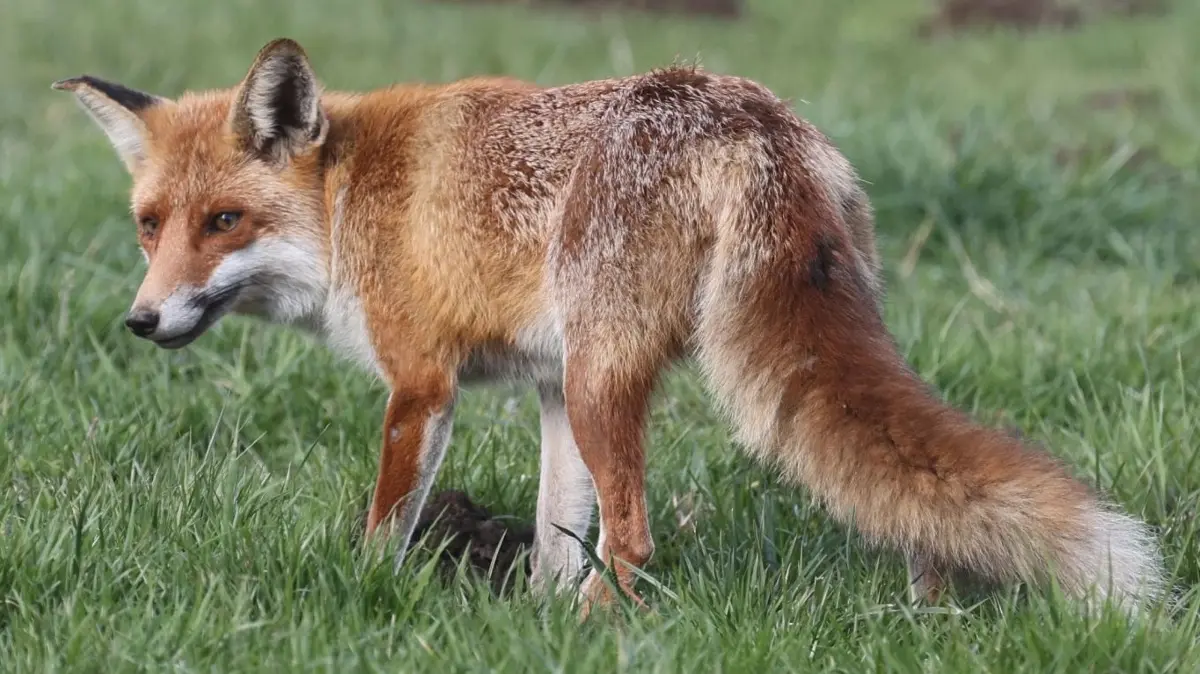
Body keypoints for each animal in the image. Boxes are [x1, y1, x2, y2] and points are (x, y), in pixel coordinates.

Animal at [53, 37, 1165, 616]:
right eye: (149, 225)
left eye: (223, 223)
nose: (141, 319)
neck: (344, 201)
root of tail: (750, 116)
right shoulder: (544, 385)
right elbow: (554, 533)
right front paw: (532, 623)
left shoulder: (423, 384)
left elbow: (385, 527)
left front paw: (368, 601)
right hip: (709, 363)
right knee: (908, 488)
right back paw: (926, 612)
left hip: (603, 379)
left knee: (634, 539)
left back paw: (603, 631)